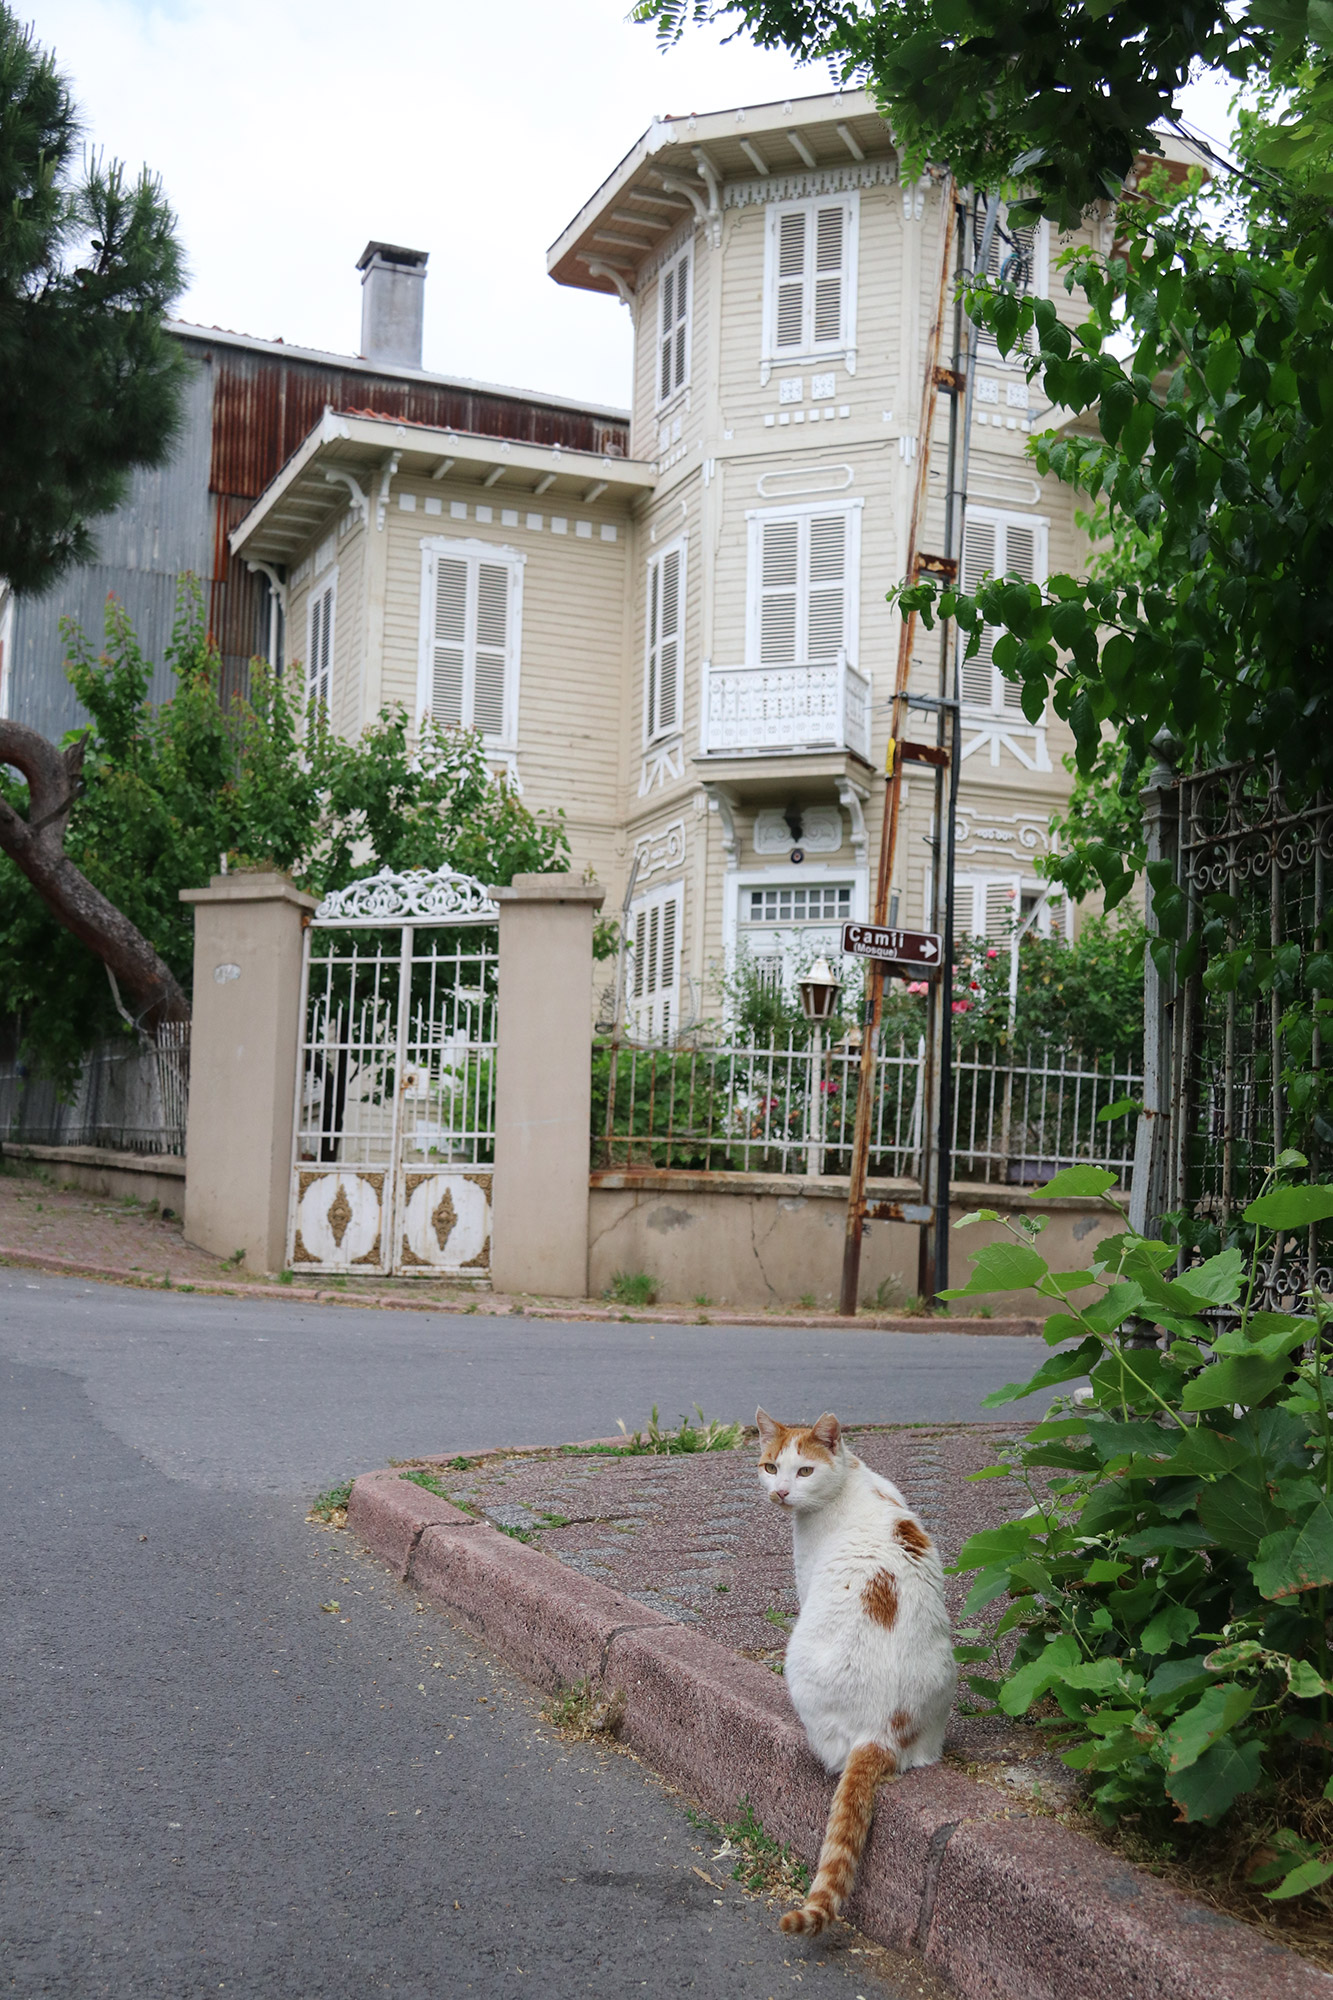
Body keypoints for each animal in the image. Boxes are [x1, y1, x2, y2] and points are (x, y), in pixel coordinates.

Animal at [752, 1408, 948, 1936]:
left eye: (804, 1471)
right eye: (770, 1467)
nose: (781, 1493)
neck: (850, 1479)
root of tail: (883, 1729)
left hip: (799, 1658)